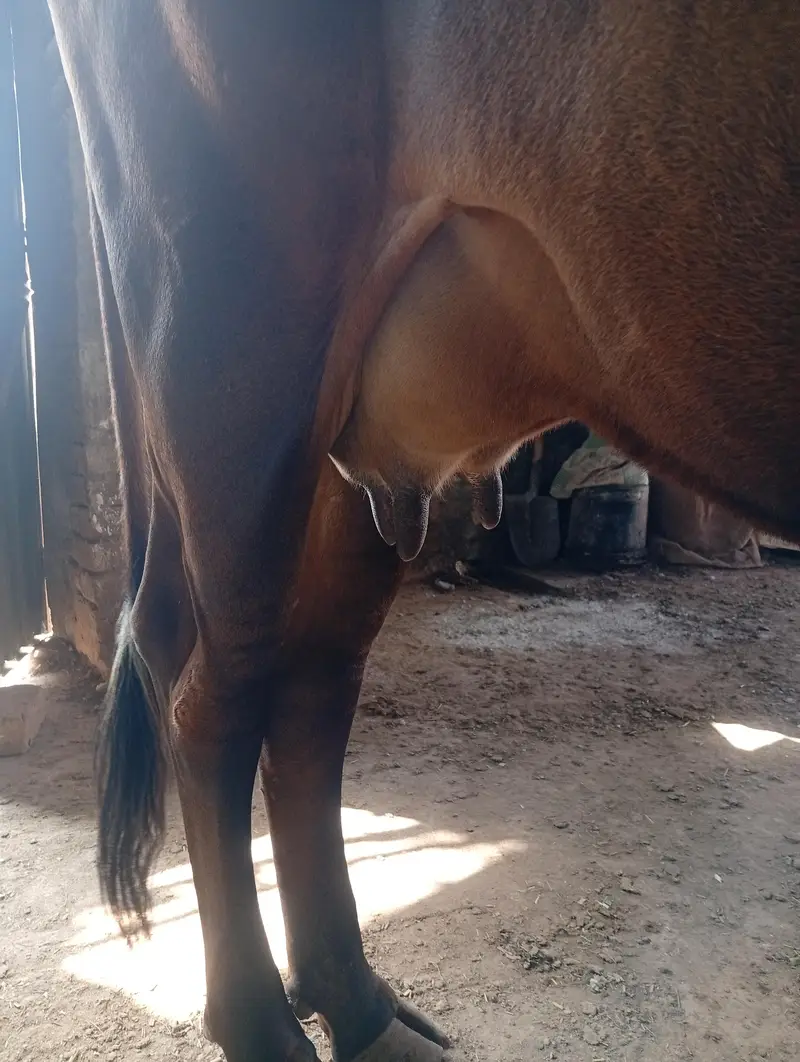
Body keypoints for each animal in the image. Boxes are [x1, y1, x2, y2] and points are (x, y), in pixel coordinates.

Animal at [45, 3, 799, 1061]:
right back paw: (264, 1027)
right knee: (210, 703)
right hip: (232, 371)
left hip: (338, 434)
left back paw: (362, 1009)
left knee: (311, 686)